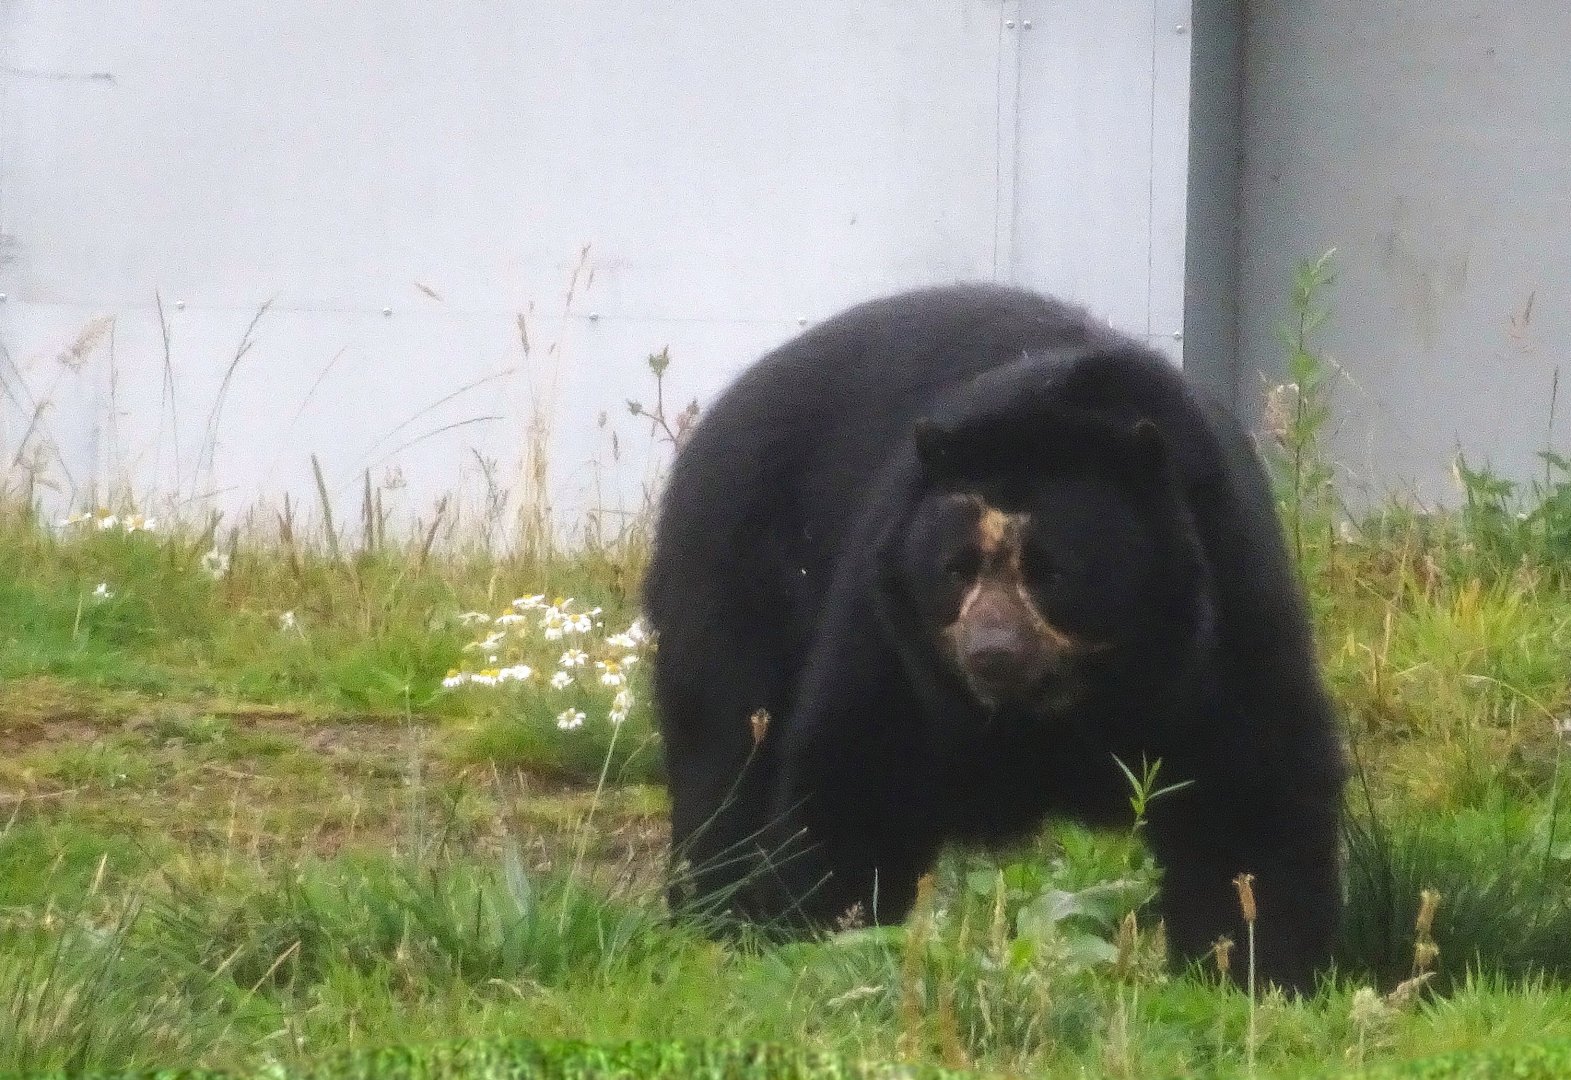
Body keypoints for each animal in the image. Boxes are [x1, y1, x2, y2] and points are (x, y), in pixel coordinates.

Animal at [642, 282, 1346, 994]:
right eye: (955, 569)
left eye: (1053, 572)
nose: (992, 653)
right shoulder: (891, 635)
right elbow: (855, 772)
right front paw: (826, 935)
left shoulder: (1226, 616)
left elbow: (1252, 794)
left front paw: (1256, 971)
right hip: (734, 581)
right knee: (726, 751)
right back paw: (720, 914)